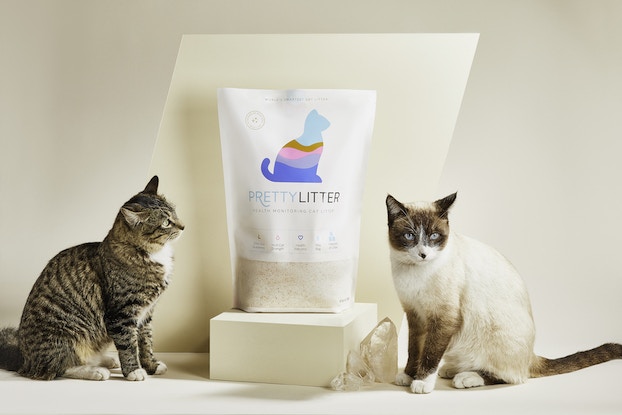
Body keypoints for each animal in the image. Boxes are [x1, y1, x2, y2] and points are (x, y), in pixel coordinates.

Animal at [0, 176, 184, 380]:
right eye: (166, 222)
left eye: (175, 213)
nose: (183, 226)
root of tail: (23, 357)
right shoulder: (122, 314)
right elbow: (128, 345)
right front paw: (133, 371)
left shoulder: (147, 313)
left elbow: (146, 342)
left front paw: (151, 365)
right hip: (67, 335)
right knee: (59, 367)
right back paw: (95, 370)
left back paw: (105, 360)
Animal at [388, 193, 620, 394]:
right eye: (409, 236)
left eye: (434, 236)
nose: (423, 254)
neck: (414, 272)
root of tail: (531, 355)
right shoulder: (415, 315)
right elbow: (414, 350)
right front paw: (408, 376)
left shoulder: (443, 318)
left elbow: (430, 353)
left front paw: (422, 383)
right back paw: (452, 369)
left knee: (512, 377)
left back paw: (467, 377)